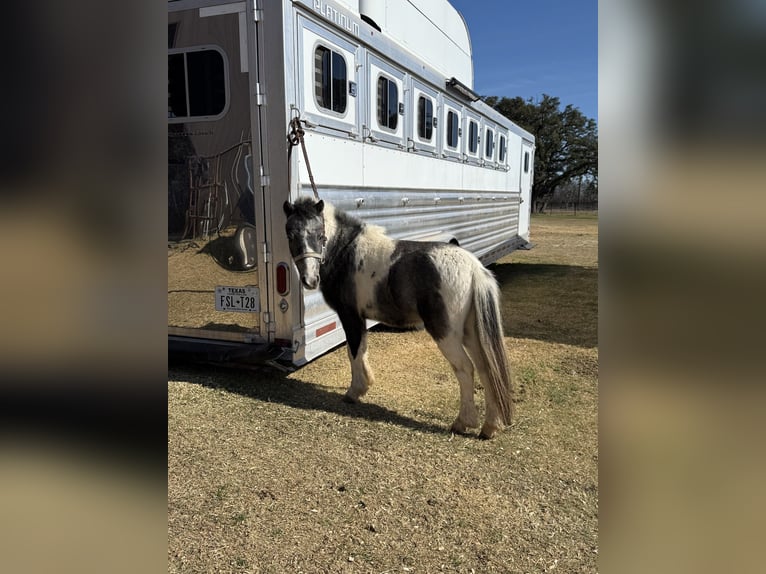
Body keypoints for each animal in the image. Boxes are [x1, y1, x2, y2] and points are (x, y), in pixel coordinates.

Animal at [283, 197, 514, 439]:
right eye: (290, 234)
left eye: (321, 235)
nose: (310, 279)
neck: (346, 251)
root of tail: (474, 269)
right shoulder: (360, 318)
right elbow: (361, 349)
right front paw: (365, 385)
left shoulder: (349, 315)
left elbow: (353, 351)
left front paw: (354, 392)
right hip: (471, 332)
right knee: (487, 368)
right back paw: (490, 426)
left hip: (446, 334)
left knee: (466, 368)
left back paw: (463, 422)